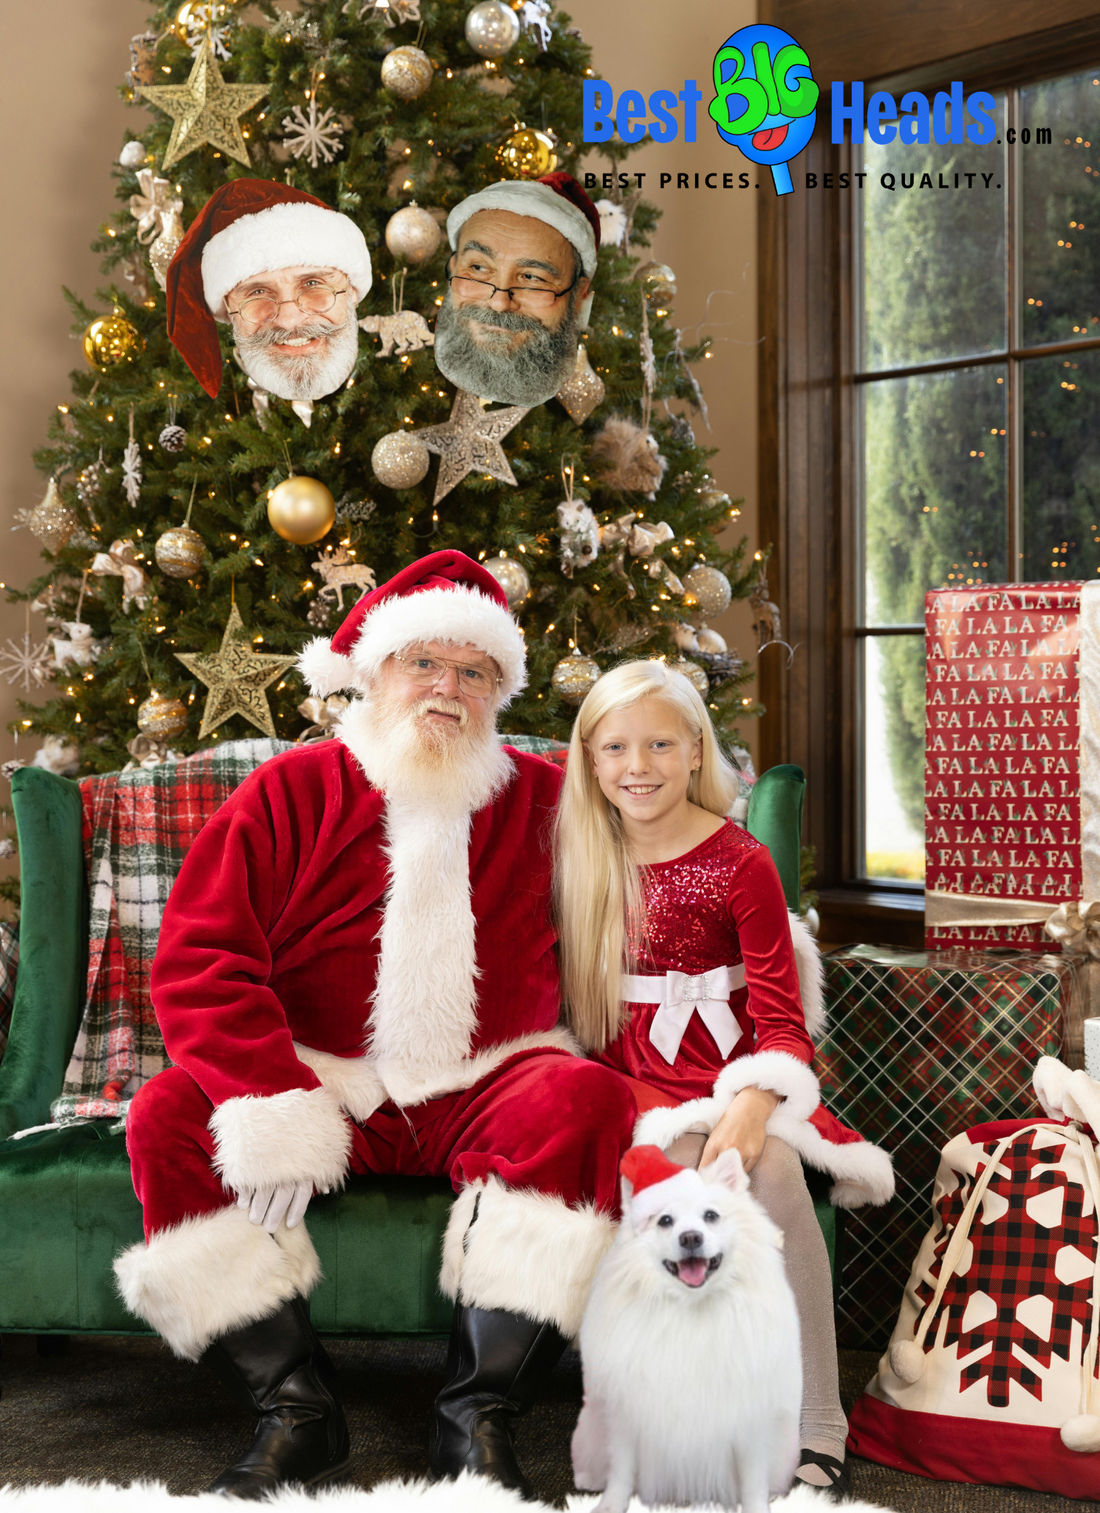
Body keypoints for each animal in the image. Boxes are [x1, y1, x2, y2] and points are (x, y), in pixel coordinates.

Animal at [577, 1143, 798, 1513]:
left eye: (711, 1216)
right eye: (665, 1221)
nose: (691, 1237)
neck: (690, 1307)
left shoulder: (748, 1420)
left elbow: (754, 1481)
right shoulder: (627, 1413)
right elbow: (621, 1469)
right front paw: (611, 1504)